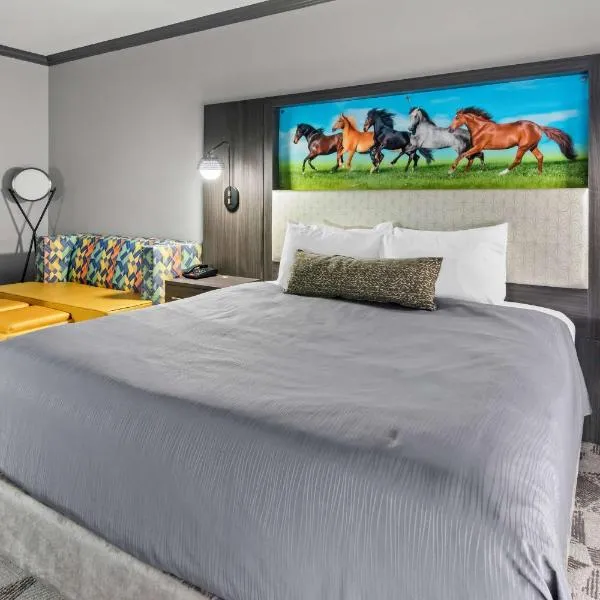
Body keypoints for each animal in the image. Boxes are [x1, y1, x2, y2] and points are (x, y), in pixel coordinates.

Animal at [448, 107, 577, 175]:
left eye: (457, 118)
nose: (450, 129)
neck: (481, 128)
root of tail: (538, 126)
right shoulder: (477, 148)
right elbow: (470, 158)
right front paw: (465, 173)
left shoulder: (479, 146)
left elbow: (463, 155)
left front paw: (451, 171)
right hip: (532, 146)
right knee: (540, 157)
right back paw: (539, 174)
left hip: (523, 147)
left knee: (517, 160)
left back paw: (502, 173)